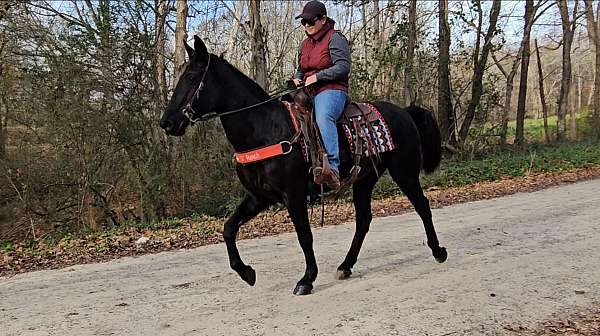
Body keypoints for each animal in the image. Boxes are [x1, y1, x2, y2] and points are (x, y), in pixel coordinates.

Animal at [159, 35, 446, 296]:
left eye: (192, 77)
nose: (167, 122)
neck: (264, 128)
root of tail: (404, 112)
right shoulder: (259, 196)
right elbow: (229, 228)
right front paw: (247, 273)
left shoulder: (293, 194)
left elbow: (304, 235)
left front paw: (307, 279)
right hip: (364, 180)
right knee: (364, 220)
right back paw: (345, 265)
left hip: (404, 172)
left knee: (422, 206)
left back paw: (438, 250)